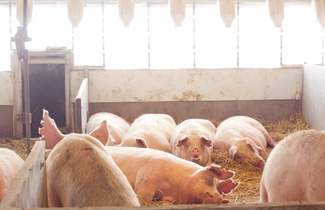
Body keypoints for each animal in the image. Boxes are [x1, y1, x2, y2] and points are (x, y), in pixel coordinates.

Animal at [39, 109, 238, 204]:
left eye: (216, 185)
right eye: (206, 179)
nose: (223, 199)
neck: (175, 184)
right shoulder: (146, 178)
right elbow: (143, 195)